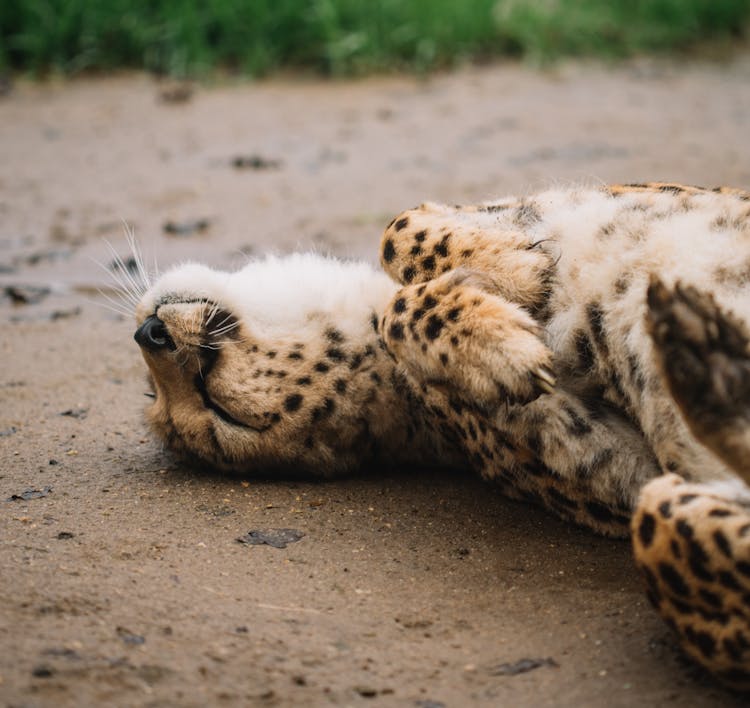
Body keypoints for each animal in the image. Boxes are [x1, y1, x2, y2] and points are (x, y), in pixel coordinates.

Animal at [132, 185, 750, 688]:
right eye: (222, 413)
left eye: (210, 401)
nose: (150, 332)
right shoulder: (625, 475)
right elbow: (404, 312)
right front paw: (495, 340)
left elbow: (399, 226)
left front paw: (514, 270)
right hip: (663, 510)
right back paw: (705, 354)